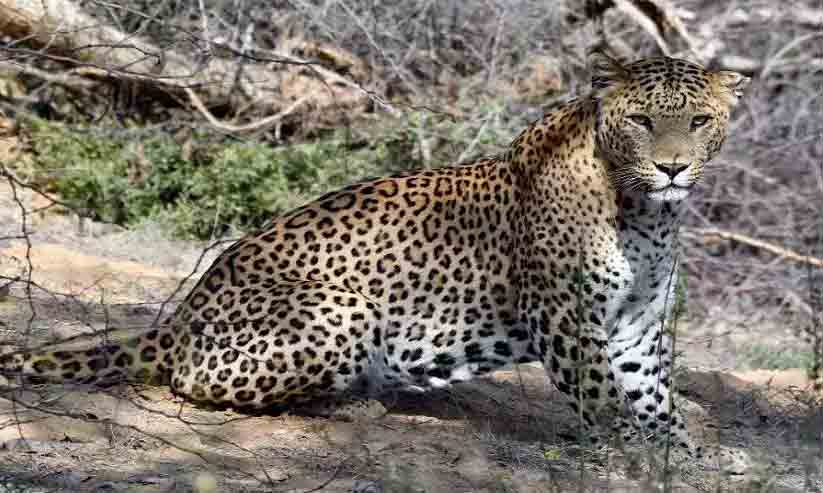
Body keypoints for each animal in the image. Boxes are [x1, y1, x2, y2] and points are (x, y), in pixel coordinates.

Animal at [1, 52, 749, 471]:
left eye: (700, 121)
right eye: (643, 121)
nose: (673, 167)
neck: (646, 212)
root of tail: (181, 318)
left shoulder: (637, 324)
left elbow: (656, 396)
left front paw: (691, 453)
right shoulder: (565, 314)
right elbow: (603, 395)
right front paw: (634, 453)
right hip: (341, 312)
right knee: (202, 384)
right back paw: (357, 403)